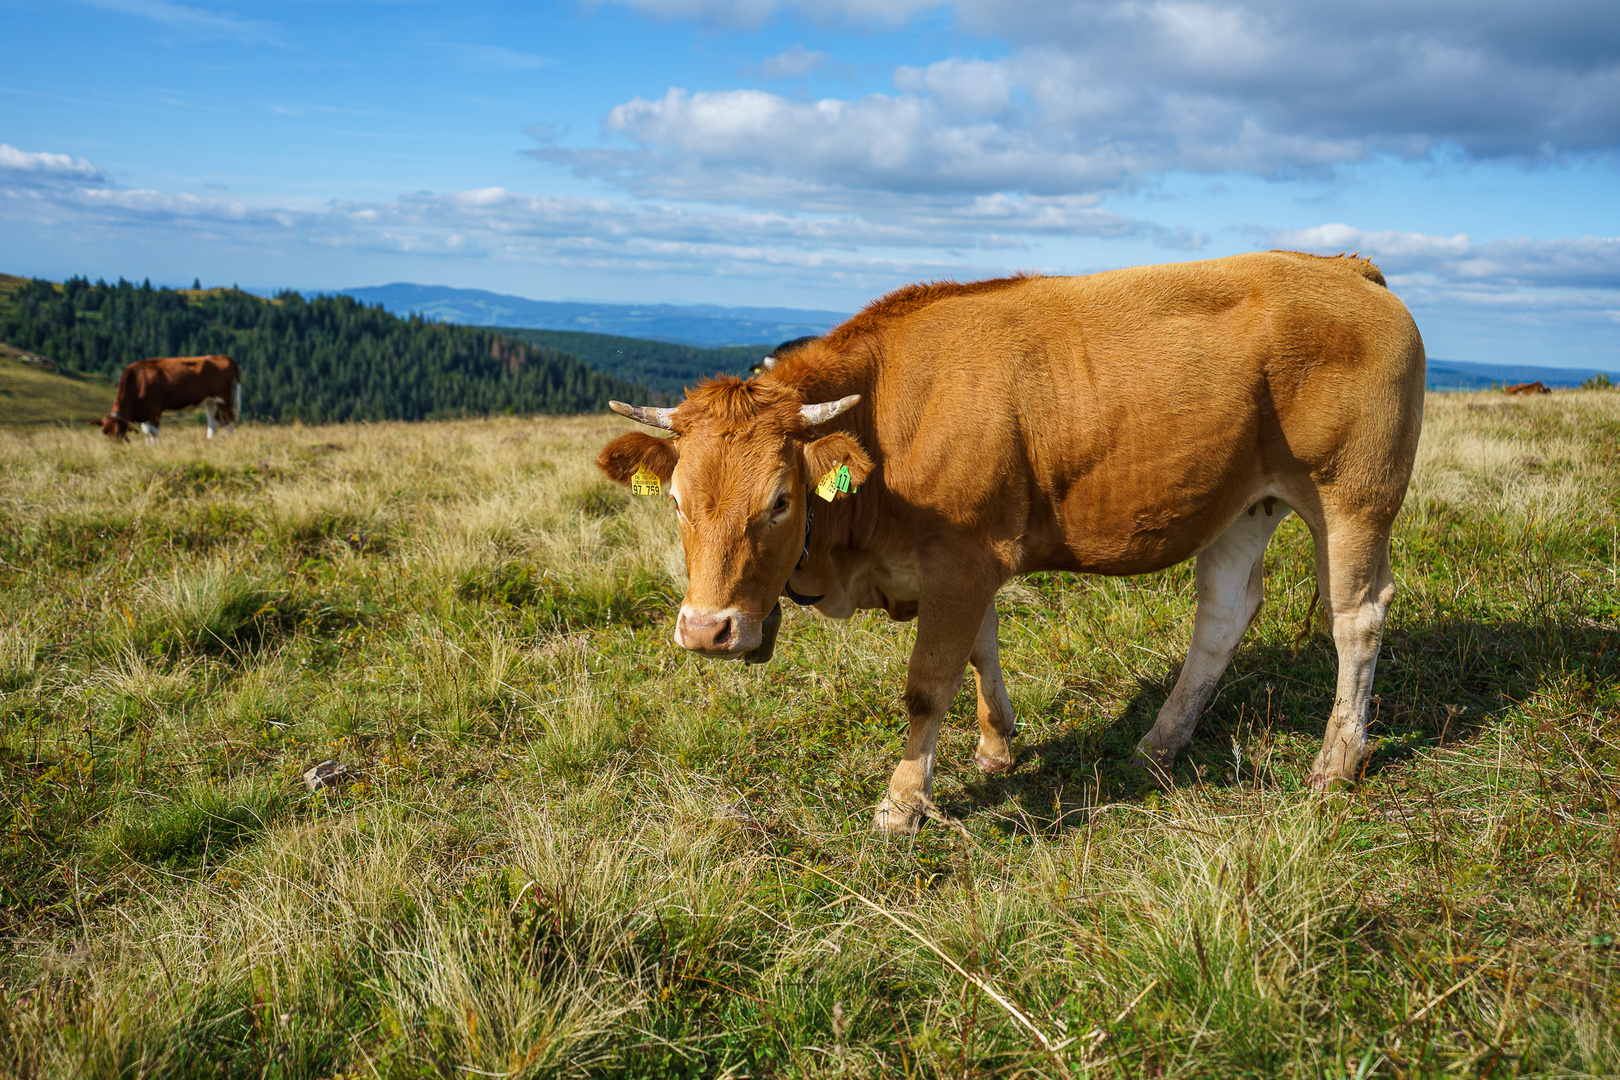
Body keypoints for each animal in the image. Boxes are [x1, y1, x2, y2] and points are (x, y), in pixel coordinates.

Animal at [94, 352, 239, 440]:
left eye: (118, 433)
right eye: (104, 432)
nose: (113, 448)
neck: (138, 380)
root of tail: (220, 356)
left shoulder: (155, 409)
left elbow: (153, 432)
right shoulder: (145, 413)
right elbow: (147, 432)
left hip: (223, 398)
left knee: (229, 421)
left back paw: (229, 440)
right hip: (210, 400)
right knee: (213, 422)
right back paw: (209, 441)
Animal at [602, 254, 1425, 835]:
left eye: (779, 500)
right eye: (676, 500)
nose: (706, 631)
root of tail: (1344, 266)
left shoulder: (964, 557)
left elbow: (928, 683)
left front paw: (903, 803)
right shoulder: (964, 561)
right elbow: (981, 652)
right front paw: (997, 748)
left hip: (1353, 493)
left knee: (1358, 615)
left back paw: (1336, 762)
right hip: (1245, 504)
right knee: (1223, 615)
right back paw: (1161, 742)